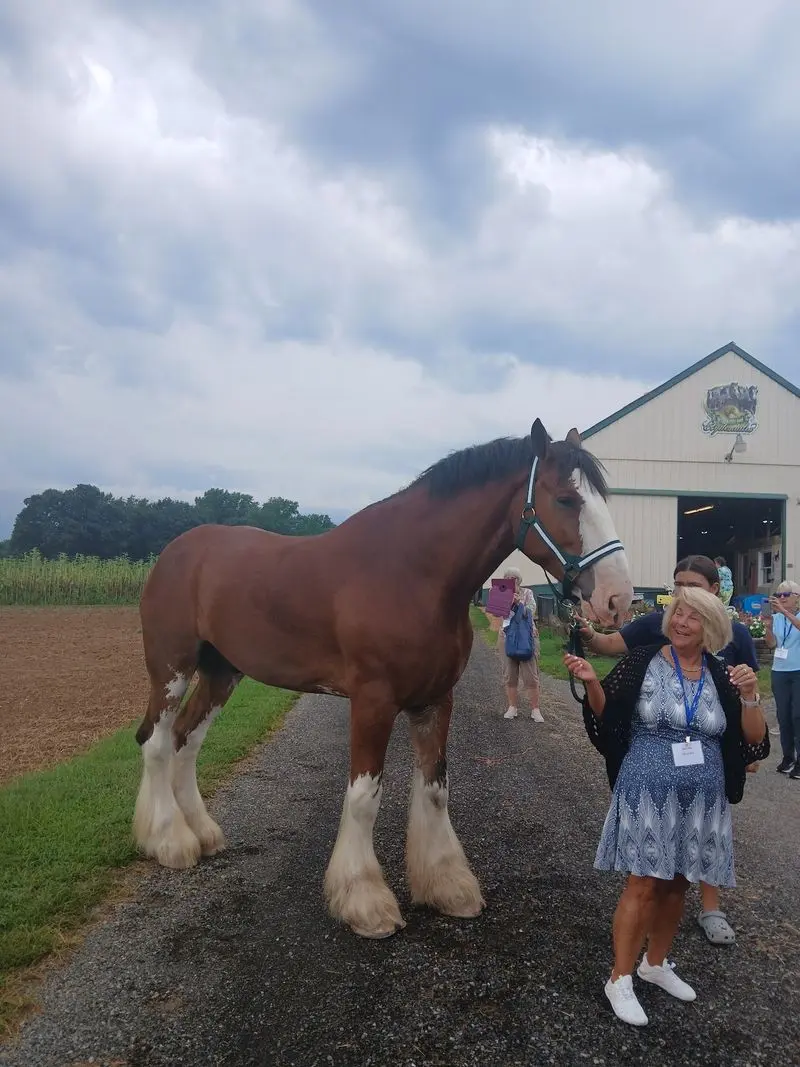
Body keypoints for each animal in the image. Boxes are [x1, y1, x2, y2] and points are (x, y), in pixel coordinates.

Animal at [132, 420, 634, 939]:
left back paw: (203, 833)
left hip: (221, 672)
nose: (618, 598)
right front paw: (364, 900)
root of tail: (174, 552)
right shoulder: (372, 701)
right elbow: (363, 796)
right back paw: (170, 841)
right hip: (171, 669)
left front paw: (447, 886)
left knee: (186, 739)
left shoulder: (436, 699)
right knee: (158, 741)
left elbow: (434, 790)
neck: (411, 573)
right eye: (566, 500)